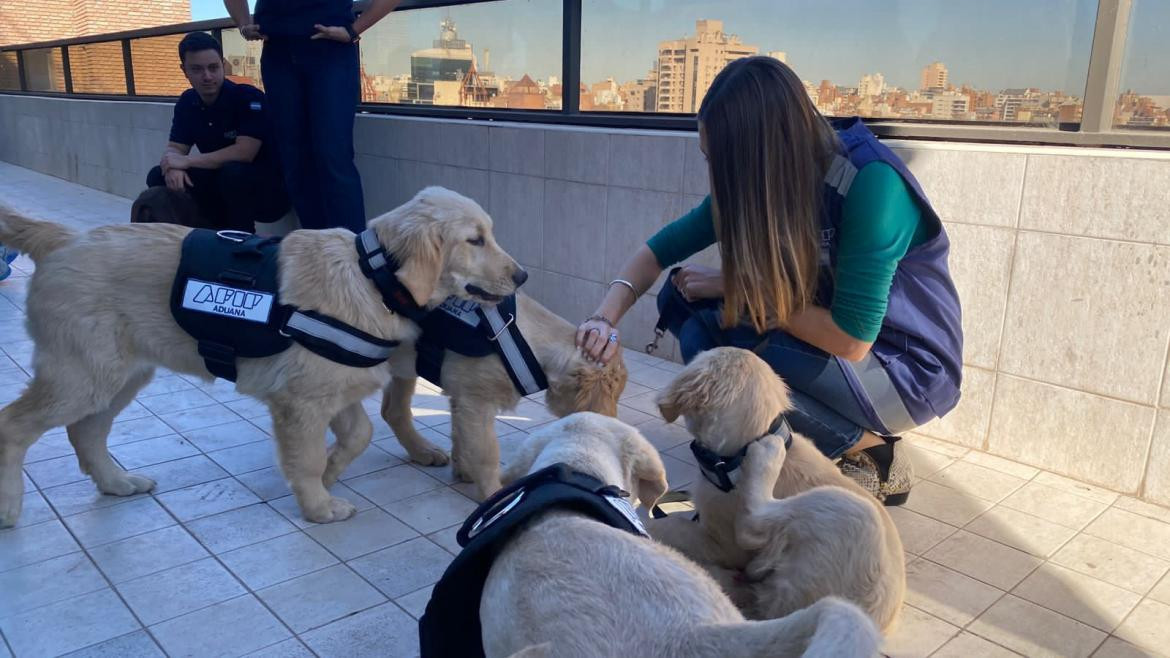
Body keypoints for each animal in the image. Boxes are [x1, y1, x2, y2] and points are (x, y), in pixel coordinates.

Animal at [0, 187, 526, 524]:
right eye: (474, 240)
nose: (521, 276)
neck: (372, 280)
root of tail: (65, 239)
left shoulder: (337, 387)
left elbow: (358, 434)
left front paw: (331, 472)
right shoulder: (300, 402)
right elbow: (307, 457)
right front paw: (319, 505)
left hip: (120, 375)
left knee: (86, 432)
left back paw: (116, 483)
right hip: (82, 376)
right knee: (15, 424)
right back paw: (10, 506)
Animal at [379, 289, 627, 498]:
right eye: (615, 395)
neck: (519, 338)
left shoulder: (463, 395)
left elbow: (459, 433)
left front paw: (463, 468)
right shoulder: (476, 402)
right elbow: (486, 454)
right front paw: (492, 494)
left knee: (393, 411)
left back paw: (422, 451)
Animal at [650, 348, 903, 632]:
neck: (736, 457)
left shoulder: (723, 545)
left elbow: (672, 525)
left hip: (852, 510)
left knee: (751, 525)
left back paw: (767, 455)